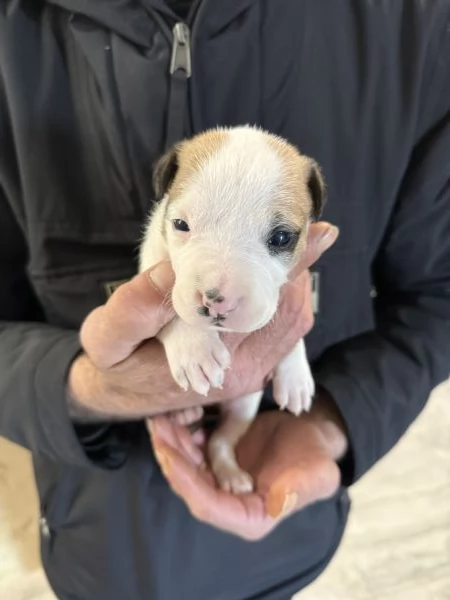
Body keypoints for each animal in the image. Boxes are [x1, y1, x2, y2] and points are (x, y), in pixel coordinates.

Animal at [139, 124, 326, 494]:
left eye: (281, 238)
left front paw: (296, 373)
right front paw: (195, 349)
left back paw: (228, 472)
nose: (216, 299)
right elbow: (172, 311)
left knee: (222, 438)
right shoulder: (151, 267)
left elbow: (290, 329)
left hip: (244, 405)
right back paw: (183, 413)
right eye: (180, 224)